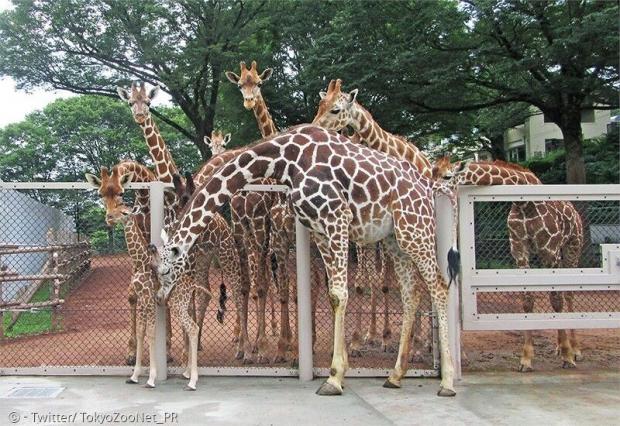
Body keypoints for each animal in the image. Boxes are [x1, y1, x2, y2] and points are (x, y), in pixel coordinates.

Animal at [153, 125, 458, 398]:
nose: (160, 299)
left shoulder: (337, 218)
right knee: (410, 293)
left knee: (439, 286)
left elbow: (340, 292)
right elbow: (333, 295)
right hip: (395, 238)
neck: (285, 160)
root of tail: (428, 185)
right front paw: (340, 371)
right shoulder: (318, 229)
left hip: (415, 230)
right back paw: (395, 376)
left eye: (164, 271)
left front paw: (333, 379)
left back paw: (447, 382)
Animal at [312, 79, 434, 356]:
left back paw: (419, 342)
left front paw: (407, 343)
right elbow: (360, 283)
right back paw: (378, 335)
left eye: (335, 109)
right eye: (319, 105)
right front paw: (358, 340)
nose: (313, 128)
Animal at [434, 156, 584, 370]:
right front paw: (526, 359)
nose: (430, 189)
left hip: (572, 247)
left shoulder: (549, 249)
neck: (525, 203)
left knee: (568, 293)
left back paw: (575, 349)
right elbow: (527, 300)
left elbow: (556, 300)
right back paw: (558, 347)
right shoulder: (519, 249)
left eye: (447, 176)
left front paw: (567, 356)